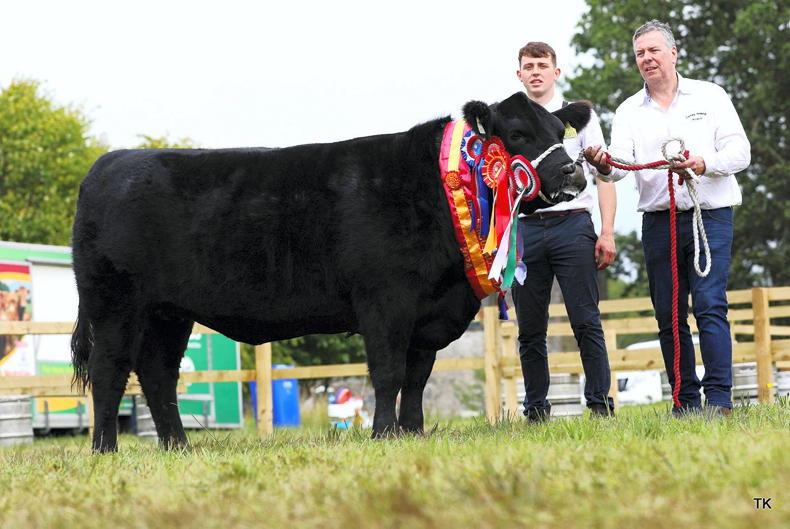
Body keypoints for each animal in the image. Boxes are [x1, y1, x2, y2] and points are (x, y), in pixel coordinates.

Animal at [71, 92, 592, 452]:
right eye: (518, 134)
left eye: (558, 130)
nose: (573, 173)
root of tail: (107, 164)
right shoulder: (384, 300)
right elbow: (388, 372)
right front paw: (383, 434)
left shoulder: (428, 313)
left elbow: (417, 377)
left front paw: (412, 432)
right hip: (114, 301)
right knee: (110, 368)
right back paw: (105, 449)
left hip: (169, 312)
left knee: (157, 373)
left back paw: (178, 446)